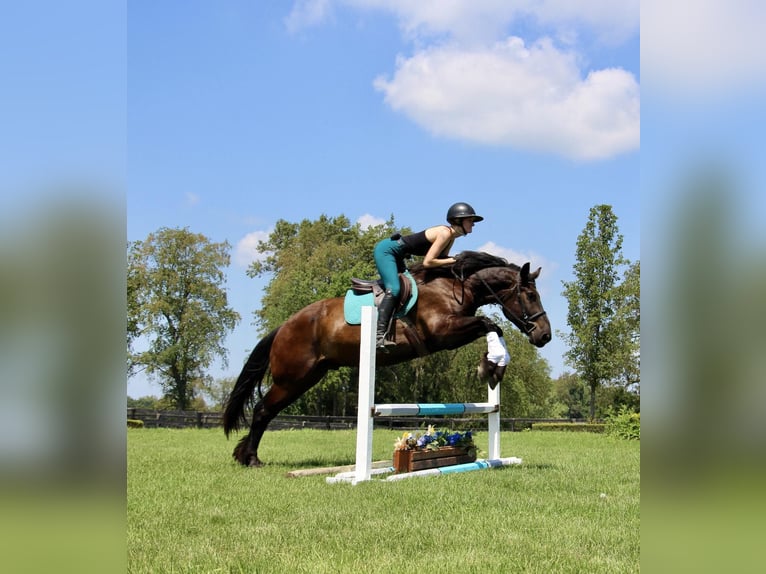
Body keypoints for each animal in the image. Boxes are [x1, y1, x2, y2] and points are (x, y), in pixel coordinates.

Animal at [222, 252, 552, 468]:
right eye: (531, 296)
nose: (544, 335)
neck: (456, 287)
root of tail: (284, 326)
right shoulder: (442, 333)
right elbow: (490, 324)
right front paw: (491, 365)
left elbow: (491, 327)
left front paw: (494, 366)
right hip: (293, 378)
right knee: (263, 411)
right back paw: (251, 459)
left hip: (310, 376)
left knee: (265, 411)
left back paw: (244, 456)